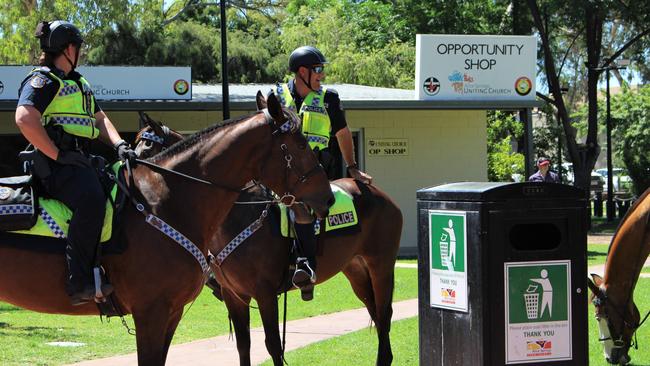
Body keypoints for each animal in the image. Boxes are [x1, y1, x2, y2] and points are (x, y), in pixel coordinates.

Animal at [0, 94, 332, 366]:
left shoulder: (174, 311)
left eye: (148, 144)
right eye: (300, 144)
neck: (169, 200)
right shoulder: (152, 312)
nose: (327, 197)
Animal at [134, 101, 400, 366]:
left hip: (381, 266)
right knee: (375, 312)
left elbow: (273, 345)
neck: (237, 216)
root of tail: (379, 194)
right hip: (355, 269)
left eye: (147, 148)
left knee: (384, 313)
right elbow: (243, 345)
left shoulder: (265, 292)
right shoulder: (234, 295)